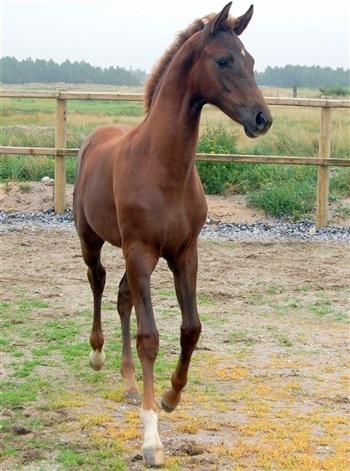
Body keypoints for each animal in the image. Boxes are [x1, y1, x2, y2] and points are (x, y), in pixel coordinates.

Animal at [73, 2, 270, 468]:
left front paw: (170, 396)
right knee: (98, 282)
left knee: (122, 297)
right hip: (93, 240)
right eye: (224, 60)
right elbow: (150, 338)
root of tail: (94, 138)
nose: (262, 119)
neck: (162, 166)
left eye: (252, 60)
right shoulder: (142, 253)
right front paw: (151, 439)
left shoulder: (184, 253)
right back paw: (97, 354)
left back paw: (129, 383)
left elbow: (191, 328)